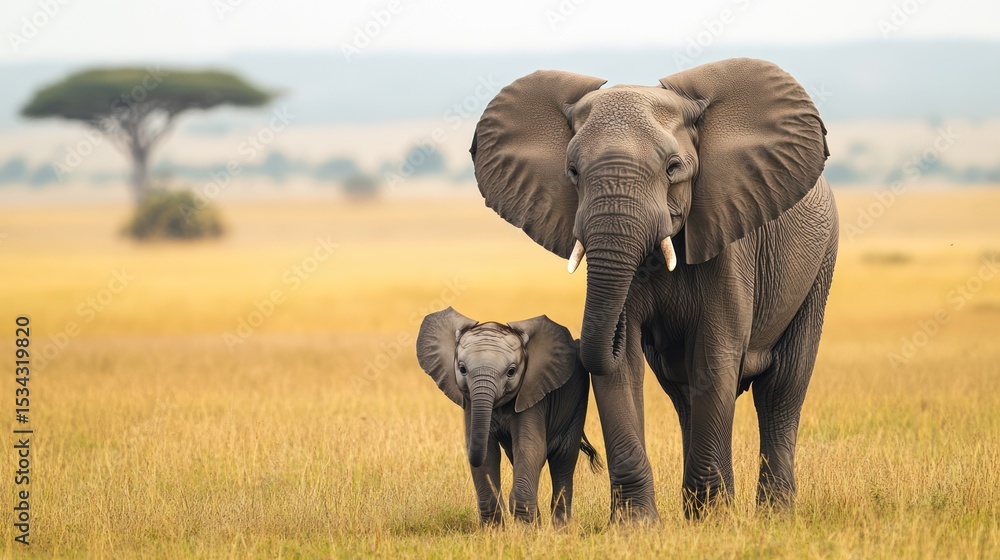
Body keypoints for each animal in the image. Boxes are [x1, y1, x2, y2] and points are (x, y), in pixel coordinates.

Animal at [416, 307, 602, 526]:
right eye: (462, 369)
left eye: (511, 372)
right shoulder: (470, 404)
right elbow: (489, 452)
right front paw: (495, 530)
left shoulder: (532, 395)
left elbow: (530, 448)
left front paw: (525, 531)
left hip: (577, 404)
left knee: (563, 459)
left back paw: (560, 529)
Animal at [469, 58, 838, 521]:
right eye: (573, 172)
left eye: (673, 168)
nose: (613, 329)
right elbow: (622, 367)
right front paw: (637, 525)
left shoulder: (728, 238)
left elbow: (714, 356)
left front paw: (712, 522)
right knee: (683, 394)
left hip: (820, 264)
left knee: (781, 390)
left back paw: (771, 514)